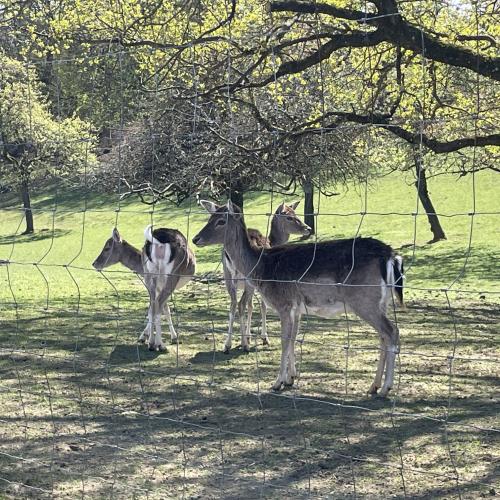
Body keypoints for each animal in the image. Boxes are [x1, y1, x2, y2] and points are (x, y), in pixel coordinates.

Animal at [198, 199, 308, 352]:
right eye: (289, 217)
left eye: (294, 213)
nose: (307, 228)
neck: (272, 241)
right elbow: (262, 306)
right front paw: (263, 338)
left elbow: (251, 306)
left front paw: (249, 335)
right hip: (246, 281)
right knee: (241, 304)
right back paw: (244, 344)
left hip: (228, 277)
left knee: (233, 304)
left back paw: (228, 344)